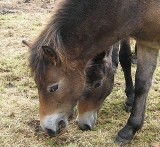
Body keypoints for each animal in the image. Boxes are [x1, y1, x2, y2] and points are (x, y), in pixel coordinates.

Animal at [29, 0, 159, 144]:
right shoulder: (148, 44)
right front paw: (129, 130)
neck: (136, 7)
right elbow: (142, 84)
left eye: (54, 87)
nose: (48, 129)